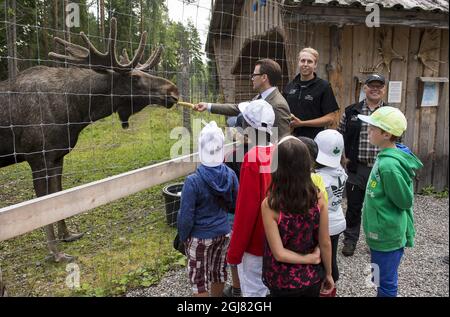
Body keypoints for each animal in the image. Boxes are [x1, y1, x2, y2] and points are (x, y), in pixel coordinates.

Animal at [0, 17, 179, 262]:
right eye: (135, 77)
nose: (174, 90)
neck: (77, 113)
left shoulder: (57, 156)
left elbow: (58, 196)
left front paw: (67, 235)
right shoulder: (37, 157)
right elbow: (43, 205)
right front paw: (56, 253)